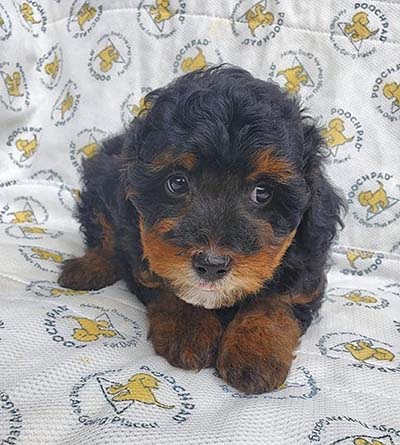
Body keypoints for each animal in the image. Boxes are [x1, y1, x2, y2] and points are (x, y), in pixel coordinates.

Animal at [57, 65, 342, 392]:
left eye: (262, 193)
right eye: (177, 183)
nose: (211, 264)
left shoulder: (307, 260)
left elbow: (278, 301)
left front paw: (255, 352)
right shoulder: (144, 249)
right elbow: (168, 284)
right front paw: (189, 329)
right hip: (101, 179)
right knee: (102, 232)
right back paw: (87, 268)